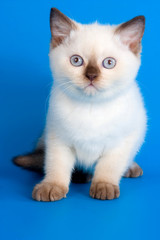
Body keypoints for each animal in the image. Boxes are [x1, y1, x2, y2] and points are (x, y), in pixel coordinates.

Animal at [13, 7, 146, 201]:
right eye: (76, 61)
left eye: (109, 63)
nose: (91, 75)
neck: (91, 108)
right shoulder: (58, 139)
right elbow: (57, 166)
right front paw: (51, 187)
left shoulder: (120, 144)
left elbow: (108, 168)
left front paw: (104, 187)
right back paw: (81, 176)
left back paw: (130, 169)